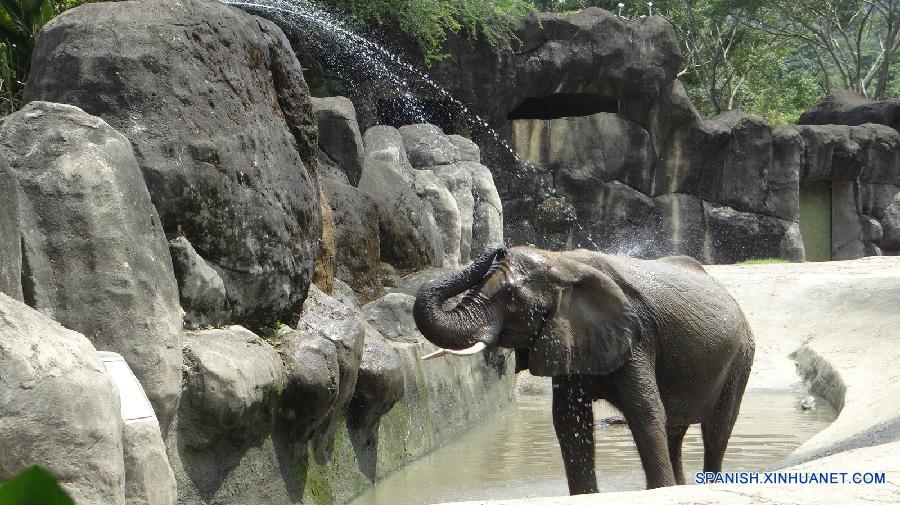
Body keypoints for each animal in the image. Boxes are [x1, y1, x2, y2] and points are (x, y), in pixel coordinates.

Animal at [414, 243, 752, 492]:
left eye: (511, 298)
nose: (498, 247)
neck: (562, 263)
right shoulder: (570, 335)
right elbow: (568, 419)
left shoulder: (635, 334)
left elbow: (644, 410)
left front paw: (658, 491)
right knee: (675, 429)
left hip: (741, 357)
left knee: (716, 430)